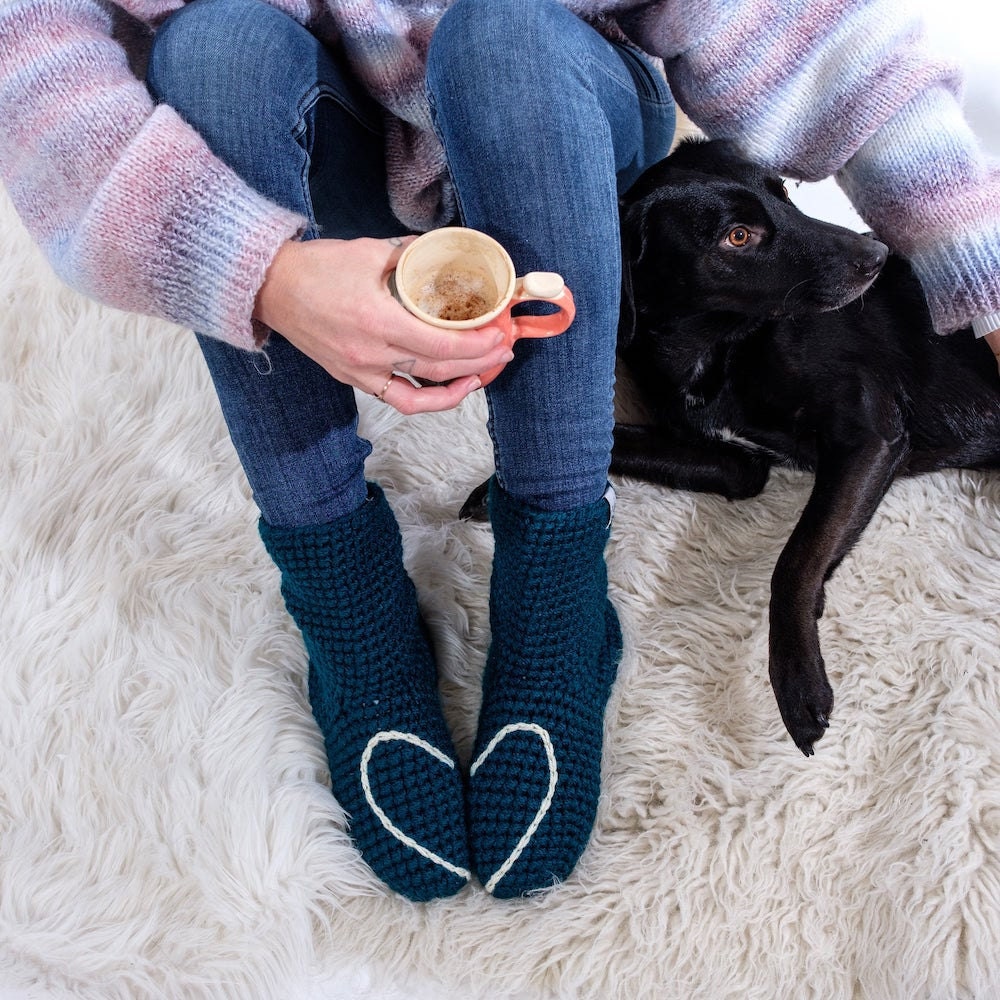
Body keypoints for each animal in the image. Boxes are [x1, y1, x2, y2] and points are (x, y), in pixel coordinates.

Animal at [612, 137, 1000, 752]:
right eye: (738, 236)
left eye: (785, 194)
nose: (878, 254)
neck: (716, 348)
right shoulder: (735, 463)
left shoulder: (871, 435)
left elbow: (795, 558)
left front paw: (796, 676)